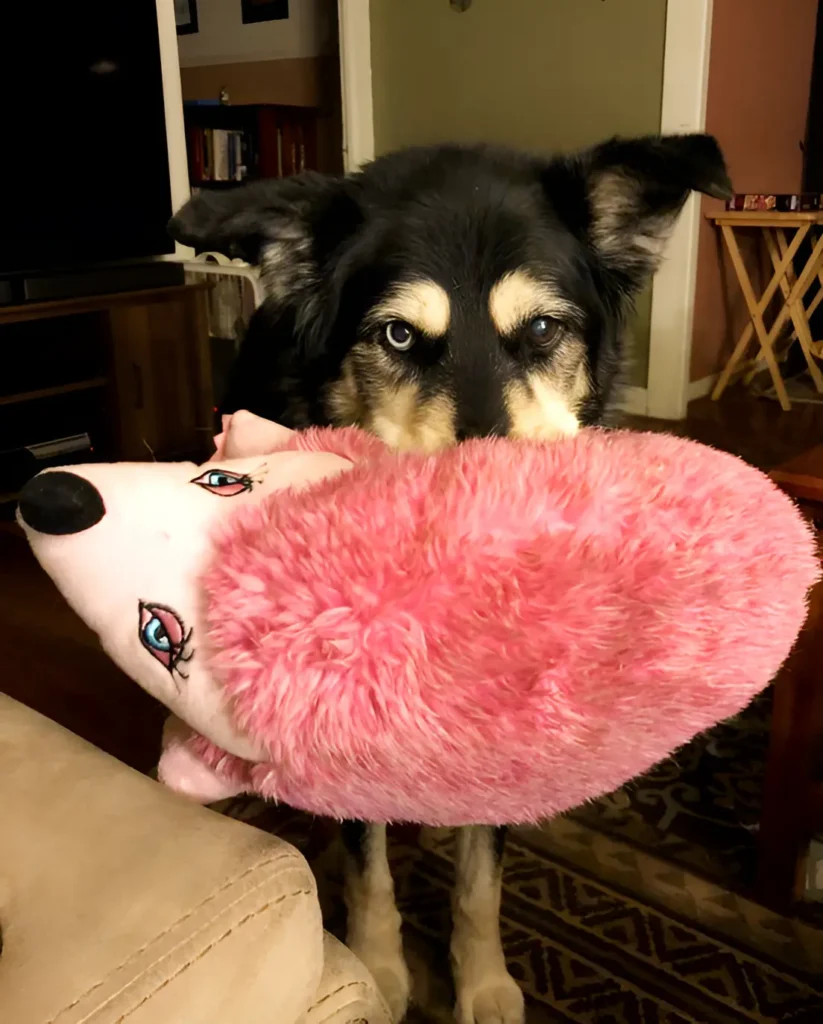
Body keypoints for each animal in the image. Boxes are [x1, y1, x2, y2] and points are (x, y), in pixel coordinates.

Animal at [168, 136, 732, 1024]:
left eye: (542, 328)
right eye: (398, 336)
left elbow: (479, 881)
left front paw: (483, 983)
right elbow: (368, 868)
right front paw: (375, 972)